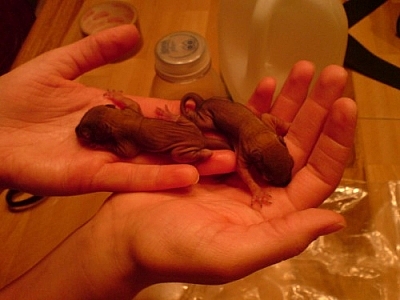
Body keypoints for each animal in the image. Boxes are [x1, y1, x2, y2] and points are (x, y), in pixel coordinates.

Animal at [76, 91, 230, 163]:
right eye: (85, 114)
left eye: (86, 133)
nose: (75, 130)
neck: (118, 119)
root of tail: (201, 137)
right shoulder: (131, 111)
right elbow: (132, 102)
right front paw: (115, 95)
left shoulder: (124, 139)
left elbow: (126, 152)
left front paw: (98, 144)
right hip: (188, 123)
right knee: (180, 118)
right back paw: (169, 115)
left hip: (183, 149)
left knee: (178, 154)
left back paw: (205, 153)